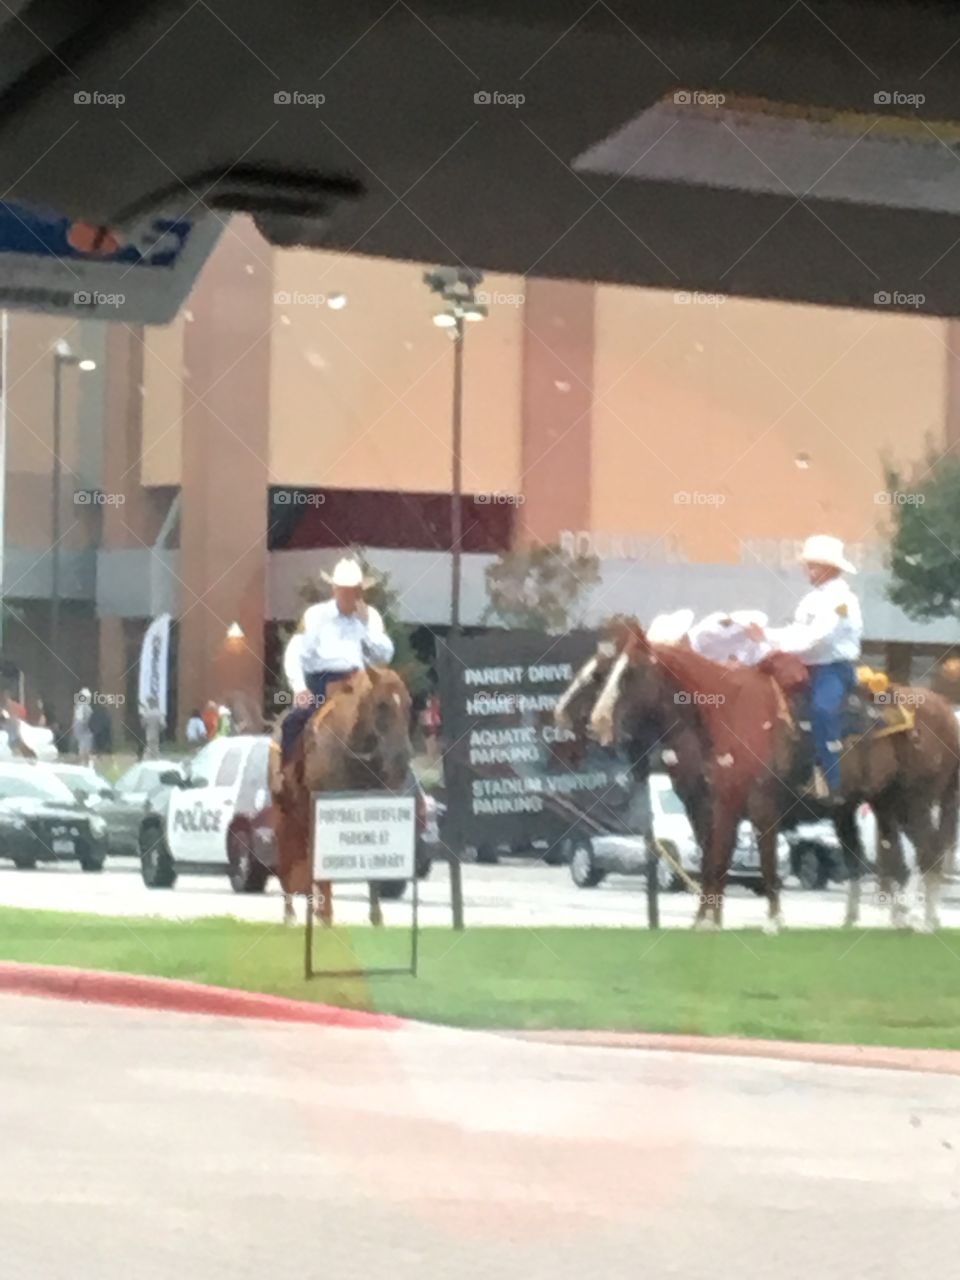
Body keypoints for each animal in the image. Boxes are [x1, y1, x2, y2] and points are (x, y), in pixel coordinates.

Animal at [273, 665, 417, 926]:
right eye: (381, 704)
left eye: (409, 703)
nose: (401, 758)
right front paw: (327, 916)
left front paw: (376, 917)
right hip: (285, 813)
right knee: (286, 857)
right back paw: (292, 913)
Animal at [593, 627, 960, 936]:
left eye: (629, 673)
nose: (597, 722)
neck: (729, 712)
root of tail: (944, 713)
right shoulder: (716, 807)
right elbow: (714, 860)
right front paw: (704, 921)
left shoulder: (758, 807)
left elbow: (764, 860)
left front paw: (772, 920)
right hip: (881, 805)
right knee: (888, 859)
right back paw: (883, 920)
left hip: (913, 803)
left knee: (927, 853)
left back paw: (927, 921)